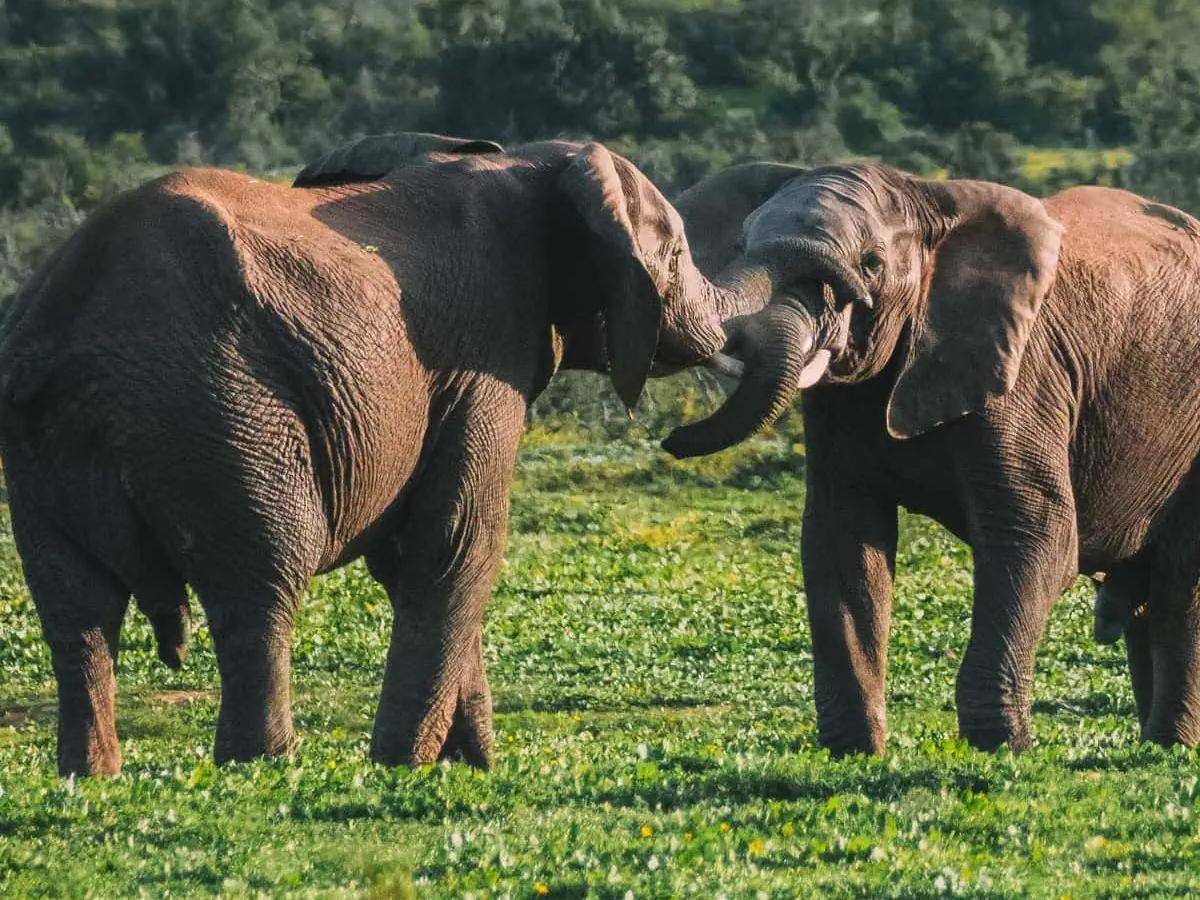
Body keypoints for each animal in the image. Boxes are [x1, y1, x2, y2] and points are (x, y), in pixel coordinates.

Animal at [0, 133, 756, 776]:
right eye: (678, 256)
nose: (676, 438)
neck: (537, 162)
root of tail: (68, 322)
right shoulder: (485, 351)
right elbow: (457, 541)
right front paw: (408, 767)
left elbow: (407, 559)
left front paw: (466, 765)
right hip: (216, 406)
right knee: (261, 581)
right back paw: (266, 768)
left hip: (45, 448)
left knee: (75, 609)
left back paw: (89, 776)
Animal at [663, 161, 1200, 753]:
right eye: (740, 246)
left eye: (871, 264)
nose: (670, 438)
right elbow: (841, 544)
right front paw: (854, 752)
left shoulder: (1023, 374)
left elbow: (1034, 536)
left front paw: (999, 750)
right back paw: (1155, 744)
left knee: (1178, 588)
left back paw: (1170, 745)